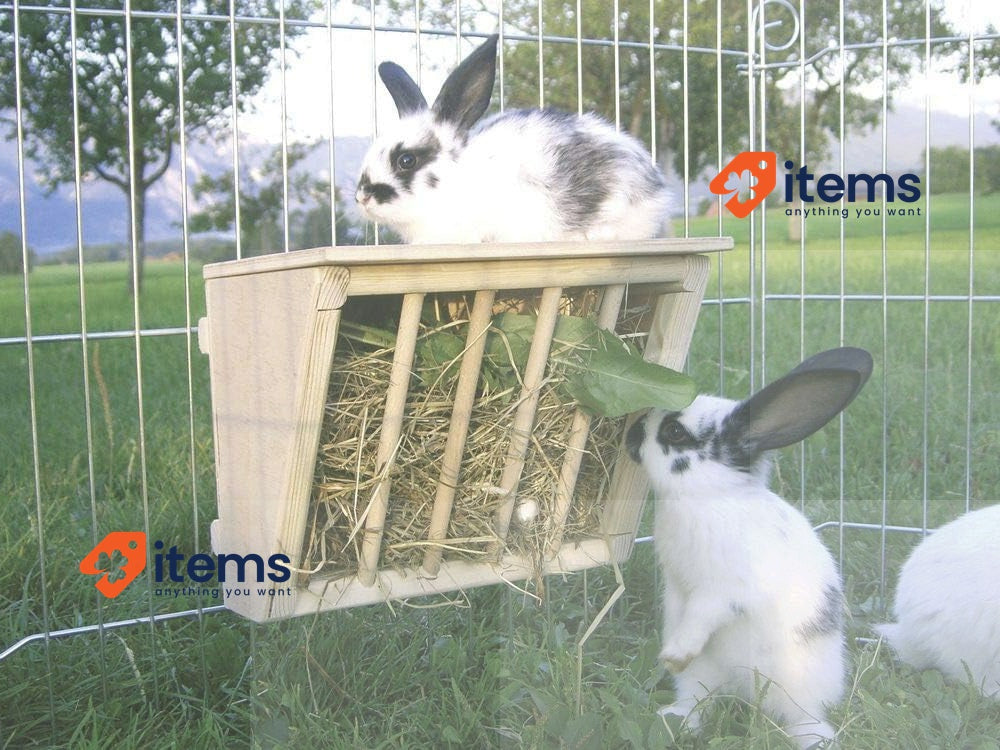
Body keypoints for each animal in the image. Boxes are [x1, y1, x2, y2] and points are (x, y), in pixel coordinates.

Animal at [625, 347, 874, 748]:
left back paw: (814, 739)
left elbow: (701, 616)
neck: (707, 495)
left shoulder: (724, 591)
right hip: (703, 675)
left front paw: (674, 653)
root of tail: (742, 690)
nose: (631, 433)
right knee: (698, 700)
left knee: (803, 717)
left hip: (797, 688)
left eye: (675, 431)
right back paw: (674, 720)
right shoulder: (678, 587)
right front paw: (670, 653)